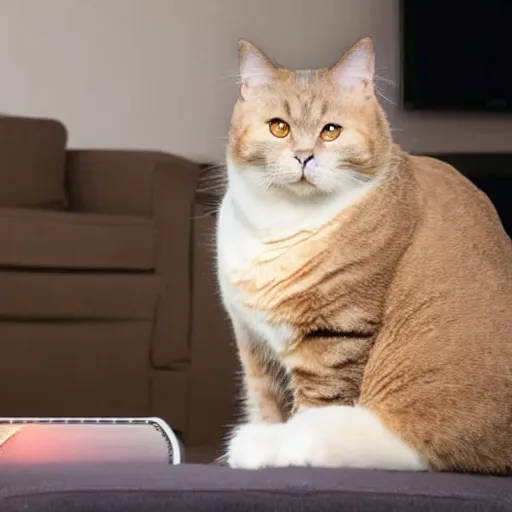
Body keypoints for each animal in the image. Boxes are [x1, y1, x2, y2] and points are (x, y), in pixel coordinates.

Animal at [215, 36, 512, 474]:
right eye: (279, 128)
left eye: (331, 131)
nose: (304, 156)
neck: (280, 225)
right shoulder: (254, 347)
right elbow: (265, 404)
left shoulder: (334, 335)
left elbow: (312, 408)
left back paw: (254, 446)